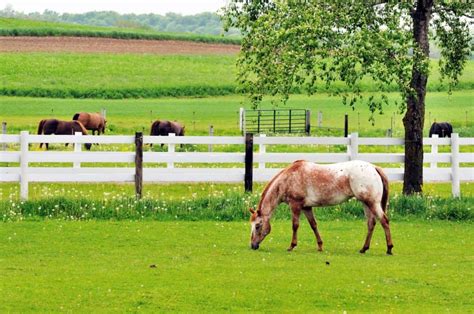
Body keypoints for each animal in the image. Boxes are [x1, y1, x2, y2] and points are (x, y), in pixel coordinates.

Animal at [248, 159, 392, 255]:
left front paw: (292, 246)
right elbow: (313, 225)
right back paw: (364, 248)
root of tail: (373, 167)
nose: (253, 245)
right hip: (366, 203)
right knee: (371, 223)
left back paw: (389, 248)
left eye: (257, 226)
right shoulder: (306, 207)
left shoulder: (295, 205)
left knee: (384, 221)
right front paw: (320, 246)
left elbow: (295, 225)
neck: (288, 178)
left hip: (372, 203)